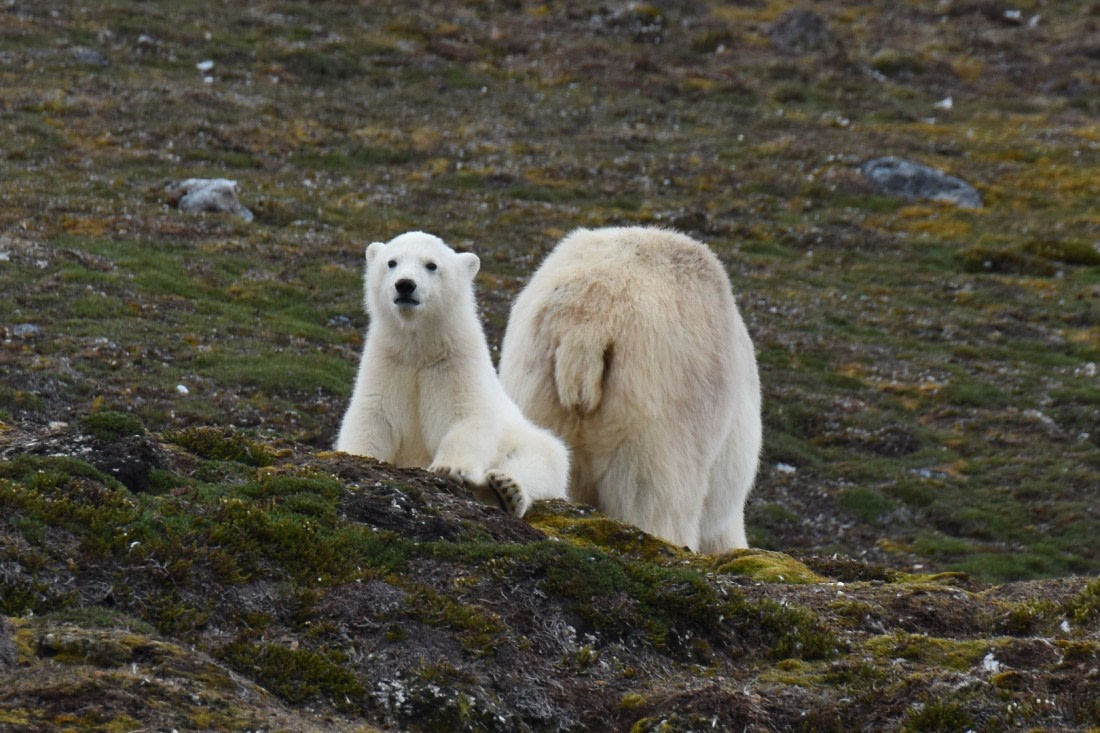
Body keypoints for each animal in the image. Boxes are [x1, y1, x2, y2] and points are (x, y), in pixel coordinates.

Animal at [335, 231, 570, 517]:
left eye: (431, 265)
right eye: (391, 262)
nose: (405, 285)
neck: (420, 348)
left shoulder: (457, 365)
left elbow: (468, 417)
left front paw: (450, 468)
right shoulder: (388, 364)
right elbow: (372, 418)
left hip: (527, 440)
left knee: (542, 459)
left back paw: (506, 490)